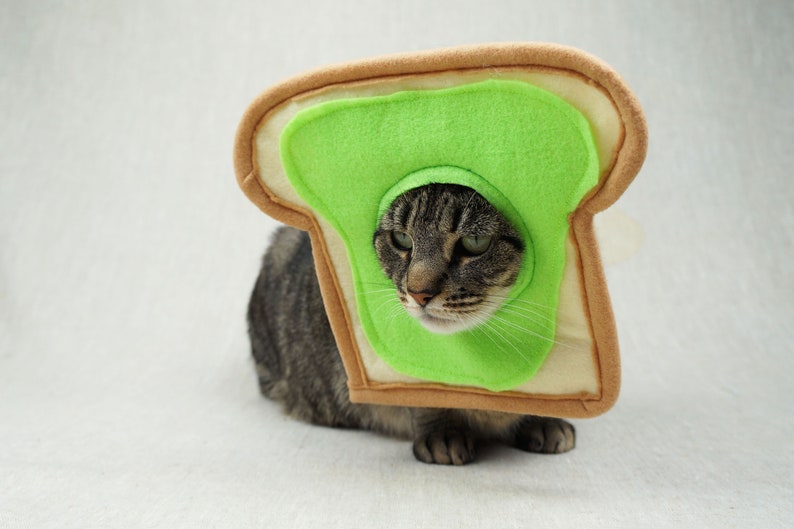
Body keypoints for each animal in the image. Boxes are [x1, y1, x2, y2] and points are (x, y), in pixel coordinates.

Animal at [244, 184, 572, 464]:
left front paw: (543, 420)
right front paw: (444, 434)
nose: (418, 293)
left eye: (475, 242)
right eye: (401, 239)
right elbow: (424, 399)